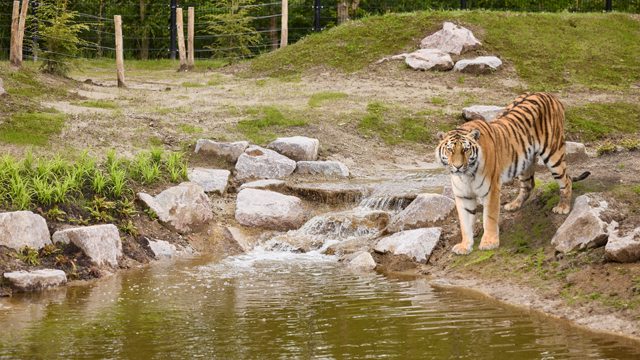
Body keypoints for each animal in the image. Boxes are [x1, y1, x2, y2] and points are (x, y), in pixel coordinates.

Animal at [436, 93, 592, 256]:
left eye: (465, 150)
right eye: (450, 150)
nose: (458, 166)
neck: (466, 175)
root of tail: (550, 95)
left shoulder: (492, 189)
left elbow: (490, 217)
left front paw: (489, 242)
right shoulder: (463, 195)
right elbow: (465, 222)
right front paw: (465, 246)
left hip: (553, 153)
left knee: (566, 180)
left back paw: (563, 207)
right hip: (524, 161)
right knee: (529, 184)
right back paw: (514, 205)